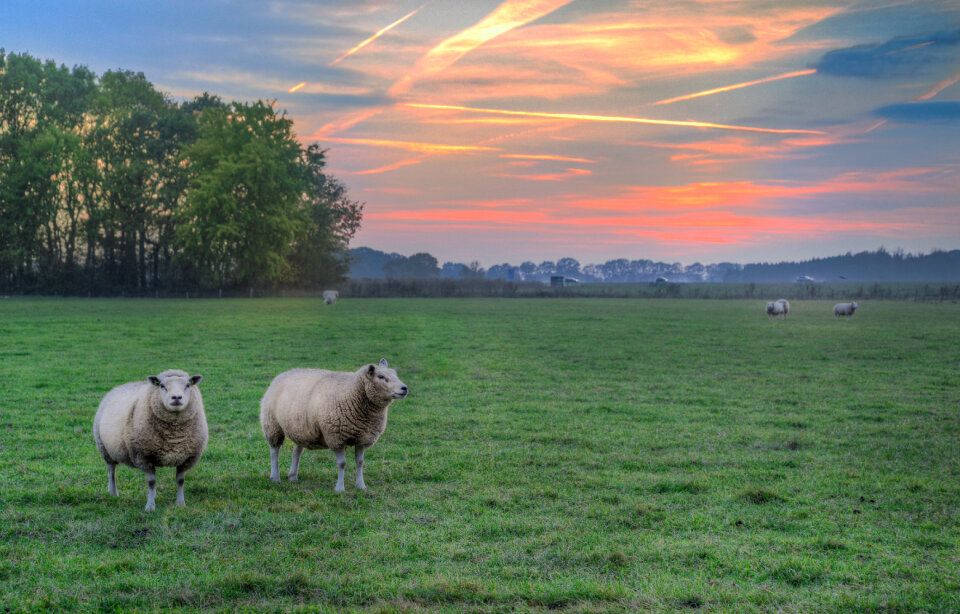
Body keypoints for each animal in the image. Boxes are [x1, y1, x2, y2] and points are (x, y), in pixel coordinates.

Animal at [92, 370, 206, 510]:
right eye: (162, 385)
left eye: (188, 385)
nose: (176, 397)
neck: (173, 436)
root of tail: (117, 387)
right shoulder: (144, 456)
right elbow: (151, 482)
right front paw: (150, 506)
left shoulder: (187, 458)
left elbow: (180, 481)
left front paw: (180, 504)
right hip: (104, 448)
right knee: (111, 471)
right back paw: (113, 492)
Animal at [262, 358, 408, 494]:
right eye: (381, 377)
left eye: (395, 374)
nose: (404, 388)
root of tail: (285, 373)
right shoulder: (336, 438)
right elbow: (342, 464)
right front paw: (340, 488)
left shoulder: (362, 438)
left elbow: (360, 463)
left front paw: (361, 486)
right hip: (272, 424)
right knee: (274, 451)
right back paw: (275, 477)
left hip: (300, 429)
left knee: (296, 452)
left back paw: (293, 476)